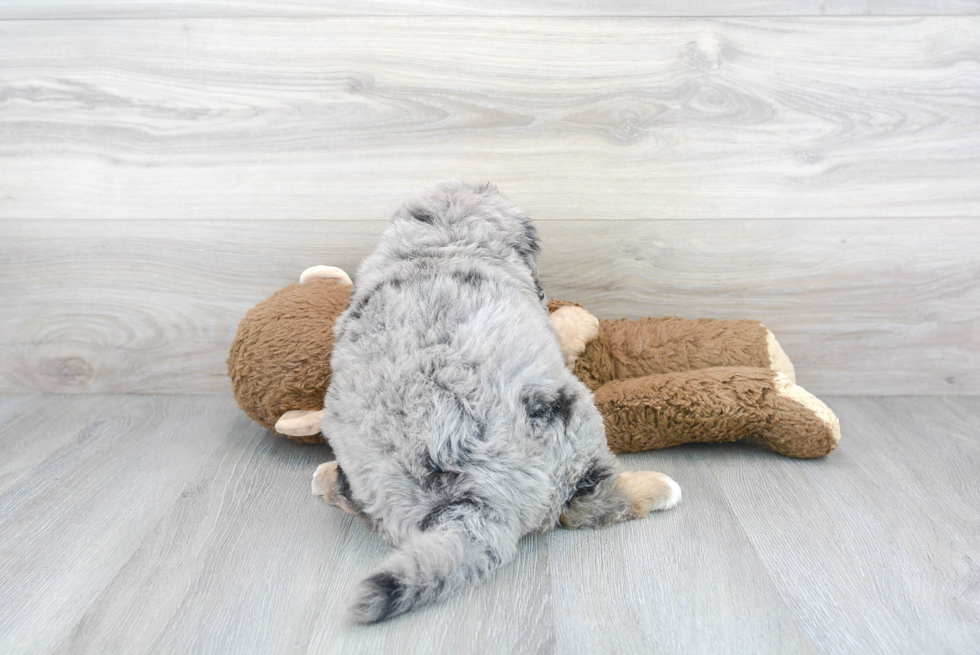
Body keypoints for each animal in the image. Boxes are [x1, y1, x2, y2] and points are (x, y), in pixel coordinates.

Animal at [314, 182, 680, 624]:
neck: (440, 243)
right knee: (585, 505)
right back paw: (661, 488)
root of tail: (470, 501)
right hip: (576, 421)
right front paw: (583, 319)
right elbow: (562, 326)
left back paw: (324, 477)